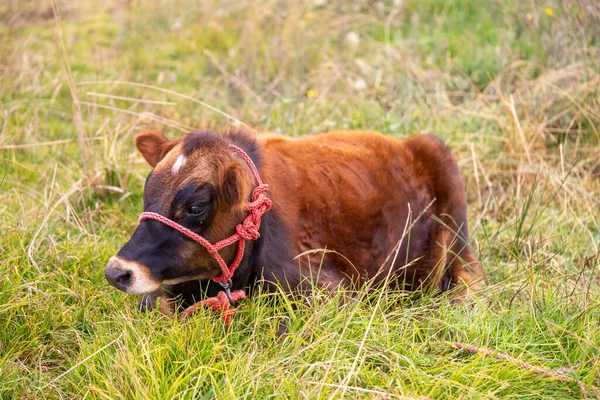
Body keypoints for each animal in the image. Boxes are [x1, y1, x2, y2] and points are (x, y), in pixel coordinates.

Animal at [105, 130, 486, 318]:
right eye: (147, 191)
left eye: (195, 206)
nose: (116, 272)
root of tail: (403, 143)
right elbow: (152, 304)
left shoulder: (330, 291)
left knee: (468, 268)